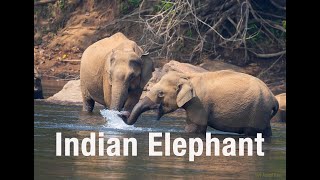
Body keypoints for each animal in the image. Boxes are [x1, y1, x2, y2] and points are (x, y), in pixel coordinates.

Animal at [121, 70, 278, 136]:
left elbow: (194, 128)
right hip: (262, 112)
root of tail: (274, 98)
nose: (123, 113)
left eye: (160, 94)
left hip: (257, 111)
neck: (188, 77)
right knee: (266, 132)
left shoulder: (199, 103)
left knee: (252, 132)